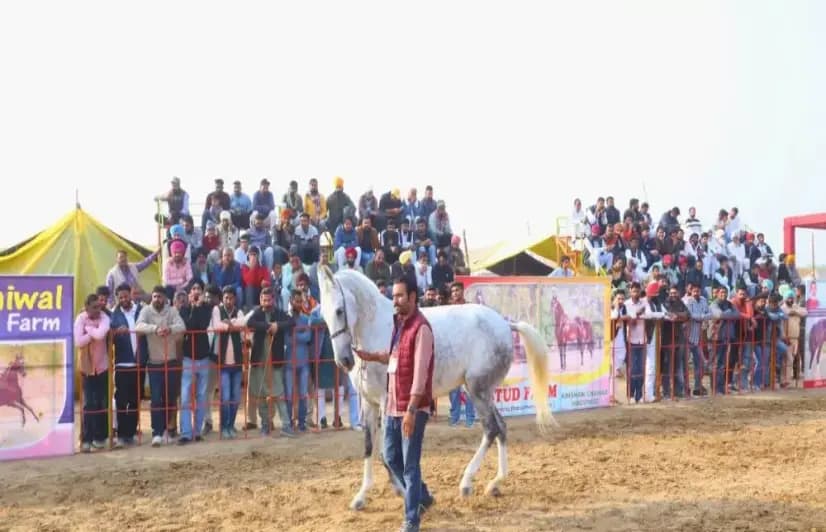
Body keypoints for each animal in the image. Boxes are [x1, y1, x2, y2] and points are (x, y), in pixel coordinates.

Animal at [316, 268, 552, 510]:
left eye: (340, 310)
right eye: (323, 315)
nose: (344, 361)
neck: (376, 330)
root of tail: (505, 324)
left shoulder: (386, 401)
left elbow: (386, 453)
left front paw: (406, 492)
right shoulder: (368, 401)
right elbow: (369, 447)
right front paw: (361, 497)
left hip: (478, 390)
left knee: (491, 429)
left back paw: (466, 483)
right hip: (481, 391)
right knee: (502, 428)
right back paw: (495, 483)